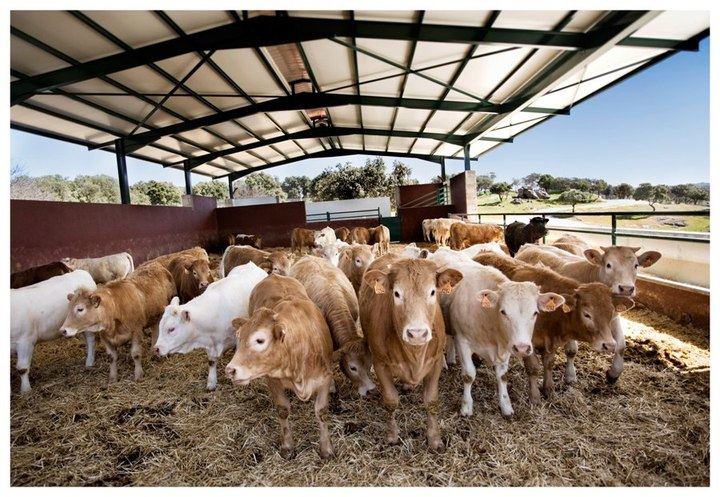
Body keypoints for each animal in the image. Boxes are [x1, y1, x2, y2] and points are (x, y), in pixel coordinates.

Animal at [226, 282, 335, 459]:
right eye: (239, 336)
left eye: (260, 340)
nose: (230, 370)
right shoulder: (272, 380)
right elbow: (283, 410)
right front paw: (287, 447)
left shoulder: (324, 378)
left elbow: (322, 411)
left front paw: (326, 449)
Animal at [360, 253, 463, 451]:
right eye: (396, 293)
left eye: (432, 292)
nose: (417, 334)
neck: (414, 354)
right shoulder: (380, 363)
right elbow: (391, 400)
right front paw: (392, 435)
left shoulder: (436, 361)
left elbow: (431, 401)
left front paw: (434, 439)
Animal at [442, 260, 563, 416]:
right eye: (503, 312)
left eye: (535, 313)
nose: (522, 348)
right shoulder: (462, 342)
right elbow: (469, 375)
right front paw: (466, 407)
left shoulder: (506, 346)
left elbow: (503, 376)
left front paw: (506, 405)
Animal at [515, 243, 661, 382]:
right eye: (608, 265)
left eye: (636, 265)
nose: (626, 288)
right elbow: (571, 350)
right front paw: (570, 376)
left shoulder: (613, 317)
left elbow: (620, 346)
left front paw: (613, 374)